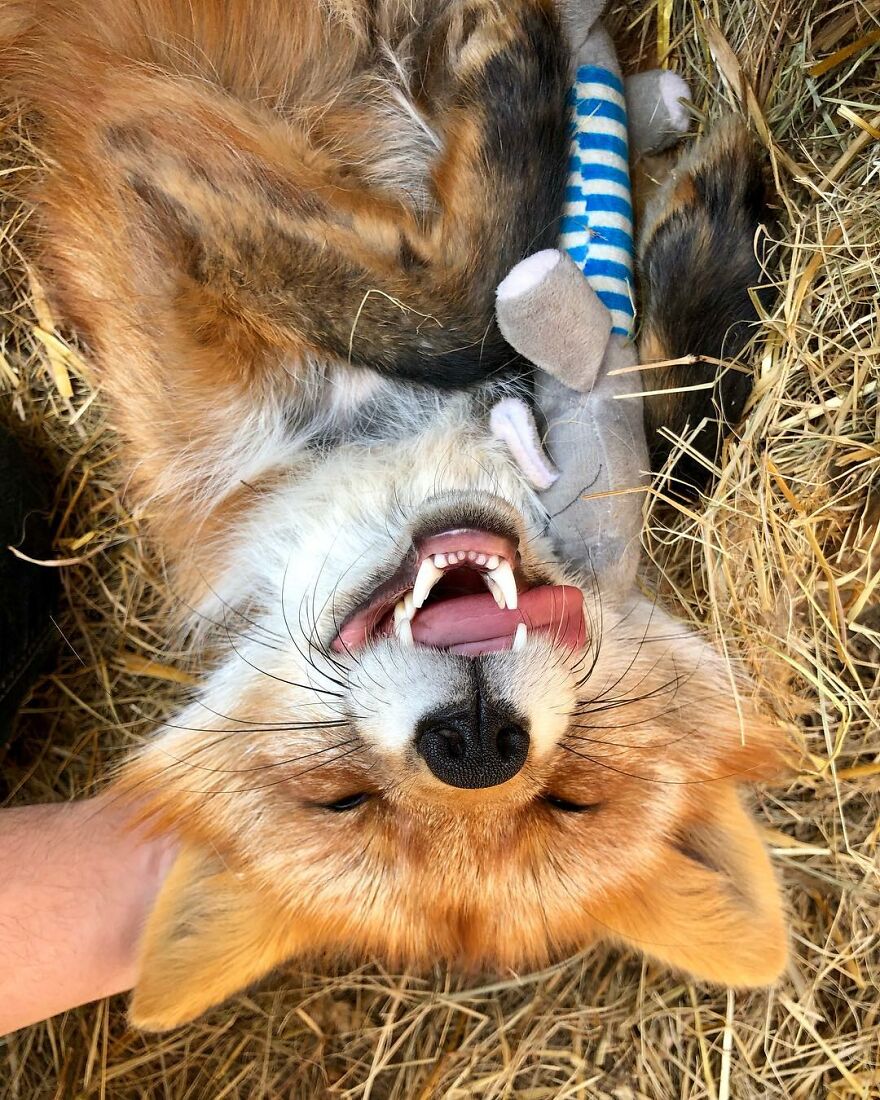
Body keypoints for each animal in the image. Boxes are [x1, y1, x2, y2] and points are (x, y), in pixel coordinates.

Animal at [0, 0, 785, 1030]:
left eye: (572, 797)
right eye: (341, 801)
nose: (477, 750)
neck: (354, 438)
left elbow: (677, 442)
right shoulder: (142, 131)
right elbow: (456, 315)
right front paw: (521, 70)